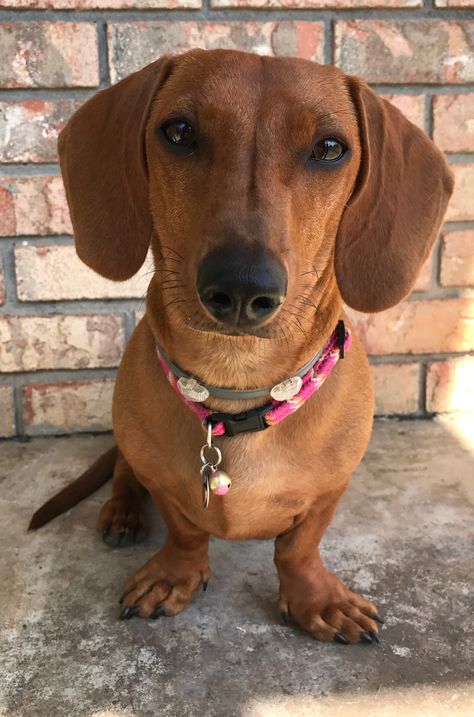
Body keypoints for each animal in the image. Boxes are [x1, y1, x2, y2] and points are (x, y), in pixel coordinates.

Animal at [28, 49, 452, 644]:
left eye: (330, 148)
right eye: (179, 132)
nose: (242, 288)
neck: (237, 388)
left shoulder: (331, 491)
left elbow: (298, 549)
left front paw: (315, 598)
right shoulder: (165, 484)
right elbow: (184, 531)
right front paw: (175, 574)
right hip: (127, 445)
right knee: (123, 473)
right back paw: (122, 513)